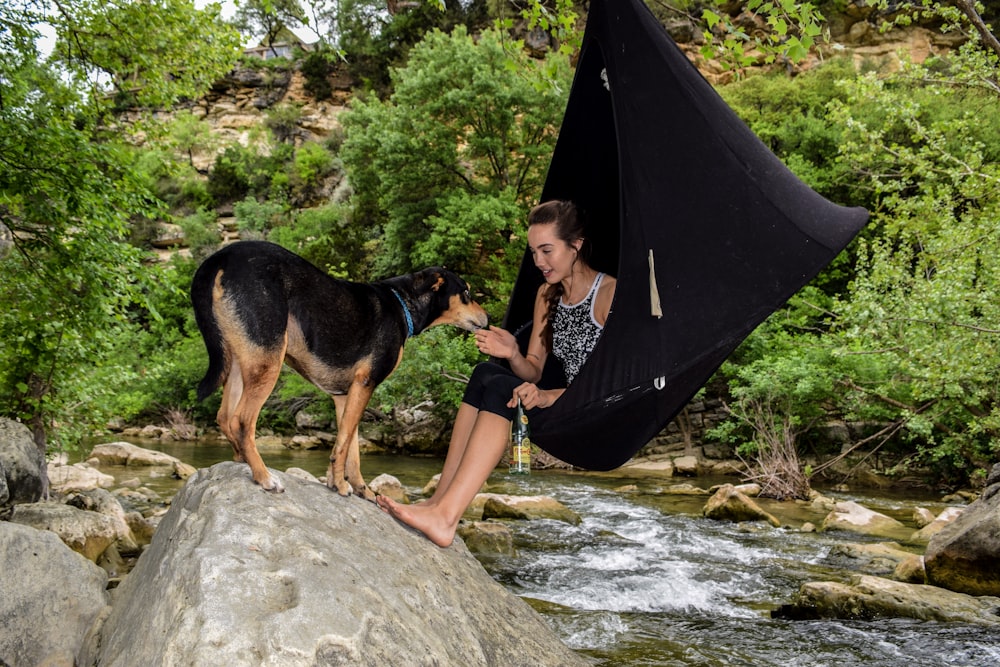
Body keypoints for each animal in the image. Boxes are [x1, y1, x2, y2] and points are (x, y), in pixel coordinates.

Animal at [191, 243, 488, 498]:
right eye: (466, 293)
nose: (488, 319)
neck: (402, 304)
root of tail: (221, 257)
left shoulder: (345, 395)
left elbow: (352, 448)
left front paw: (358, 488)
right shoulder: (365, 384)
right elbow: (344, 445)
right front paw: (342, 486)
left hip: (239, 362)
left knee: (224, 417)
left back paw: (244, 464)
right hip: (267, 361)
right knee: (241, 421)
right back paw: (264, 477)